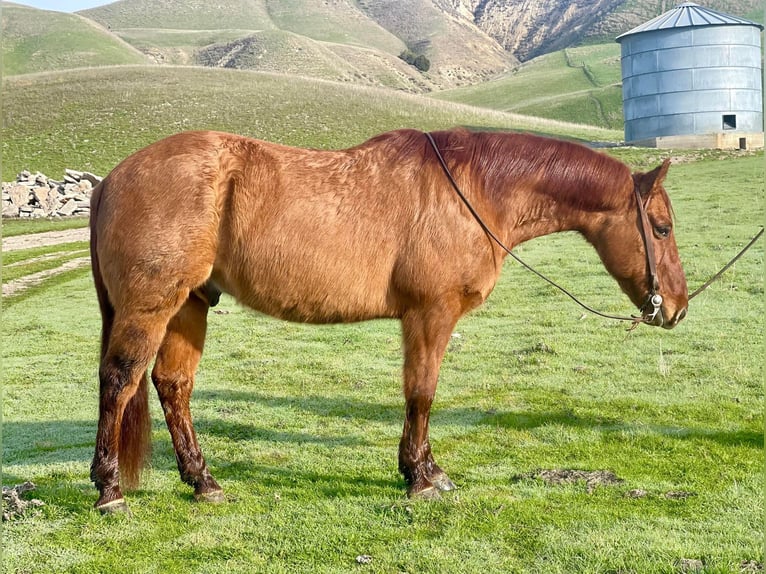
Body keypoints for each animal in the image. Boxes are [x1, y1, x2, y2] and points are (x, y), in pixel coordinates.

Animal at [88, 128, 688, 516]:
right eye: (660, 228)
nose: (677, 307)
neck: (473, 189)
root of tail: (110, 180)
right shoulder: (430, 314)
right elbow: (422, 393)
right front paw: (422, 477)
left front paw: (421, 470)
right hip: (151, 307)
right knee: (119, 383)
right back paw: (109, 490)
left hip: (189, 305)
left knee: (173, 386)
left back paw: (203, 482)